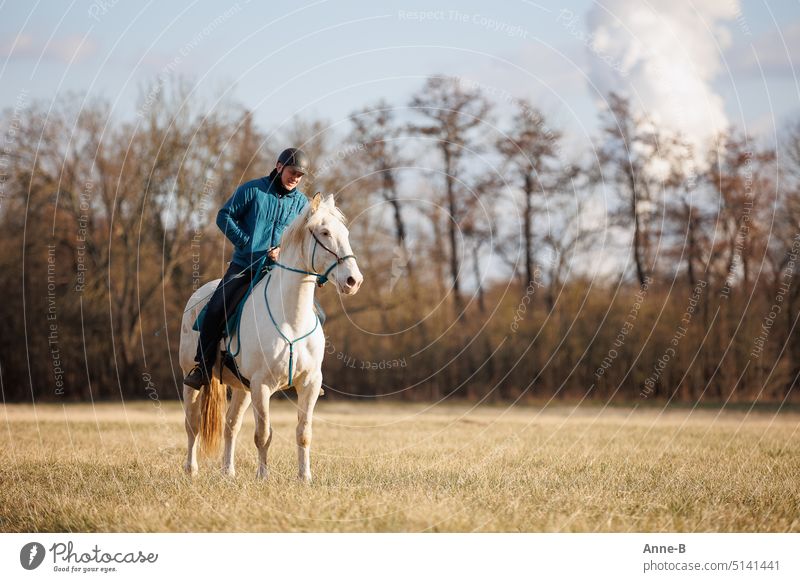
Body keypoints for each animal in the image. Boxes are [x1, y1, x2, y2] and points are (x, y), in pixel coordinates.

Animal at [180, 195, 364, 484]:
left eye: (344, 233)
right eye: (325, 232)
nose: (353, 280)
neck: (291, 319)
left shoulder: (309, 384)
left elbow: (303, 433)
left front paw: (305, 477)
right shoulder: (262, 385)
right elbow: (263, 435)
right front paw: (263, 477)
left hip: (242, 389)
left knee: (230, 426)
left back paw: (228, 471)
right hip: (192, 379)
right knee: (193, 425)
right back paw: (191, 470)